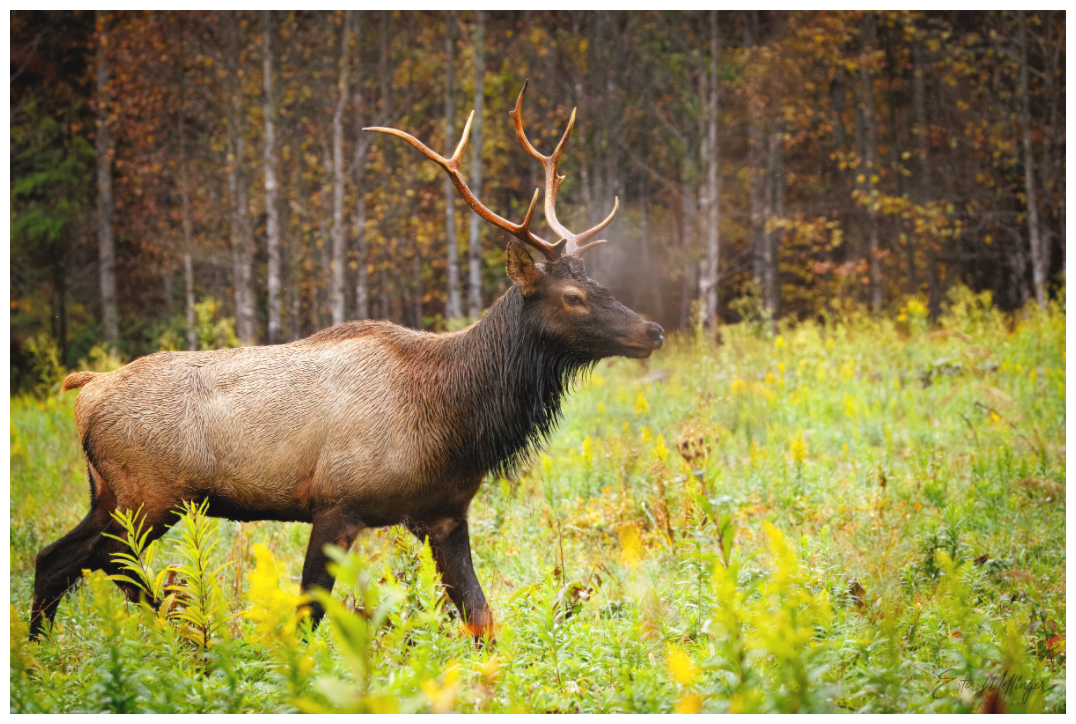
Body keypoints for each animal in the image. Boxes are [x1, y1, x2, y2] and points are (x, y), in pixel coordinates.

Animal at [28, 83, 664, 643]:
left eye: (598, 282)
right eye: (573, 296)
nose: (652, 330)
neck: (454, 418)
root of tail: (86, 389)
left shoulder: (445, 513)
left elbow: (481, 619)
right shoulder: (336, 502)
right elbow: (310, 612)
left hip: (109, 494)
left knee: (55, 558)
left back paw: (46, 659)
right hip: (149, 494)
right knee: (106, 563)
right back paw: (183, 639)